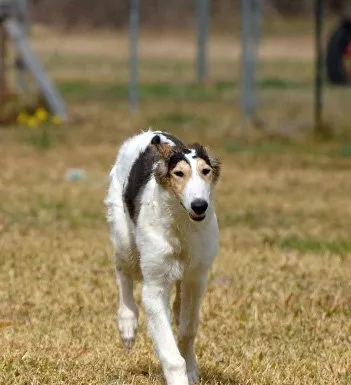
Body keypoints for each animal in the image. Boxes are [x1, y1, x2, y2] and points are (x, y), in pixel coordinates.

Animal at [104, 130, 221, 384]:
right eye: (179, 173)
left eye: (205, 171)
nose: (199, 206)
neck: (181, 223)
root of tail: (148, 133)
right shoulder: (154, 287)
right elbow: (171, 354)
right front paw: (180, 377)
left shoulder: (197, 277)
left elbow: (188, 329)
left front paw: (191, 370)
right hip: (124, 239)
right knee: (122, 272)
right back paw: (127, 324)